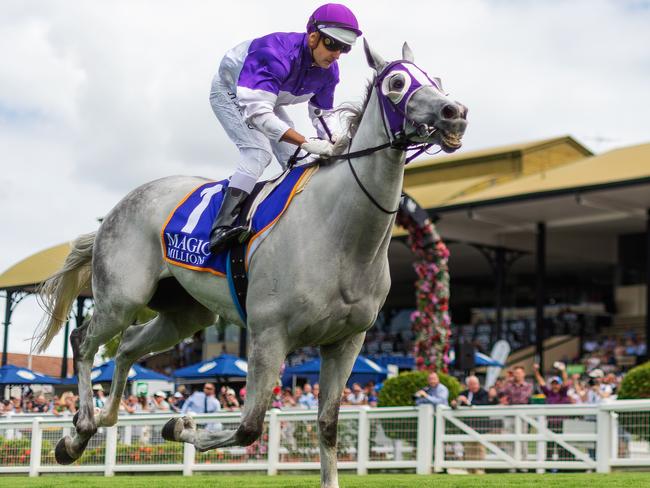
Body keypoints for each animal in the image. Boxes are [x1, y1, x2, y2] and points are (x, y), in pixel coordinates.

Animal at [35, 39, 464, 488]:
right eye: (397, 83)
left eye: (436, 79)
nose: (456, 112)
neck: (340, 235)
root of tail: (114, 212)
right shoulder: (269, 335)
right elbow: (249, 428)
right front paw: (180, 424)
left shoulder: (346, 342)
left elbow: (327, 425)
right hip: (121, 299)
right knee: (83, 341)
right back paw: (80, 432)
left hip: (185, 315)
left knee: (128, 347)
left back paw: (97, 422)